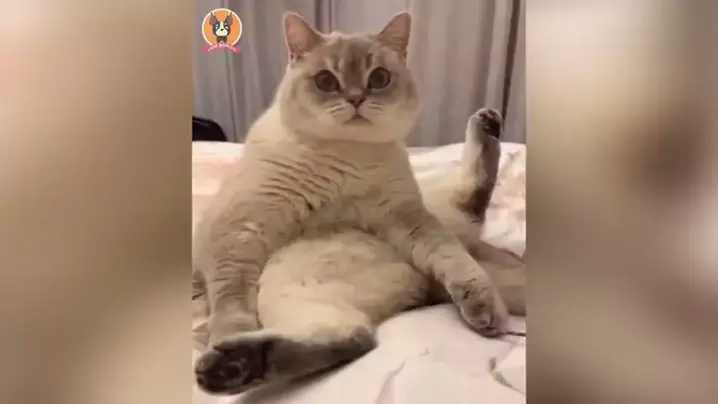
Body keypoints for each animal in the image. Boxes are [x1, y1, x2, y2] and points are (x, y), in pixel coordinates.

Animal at [192, 11, 524, 395]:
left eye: (378, 79)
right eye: (326, 81)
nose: (354, 99)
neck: (344, 156)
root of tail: (427, 291)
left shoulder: (409, 217)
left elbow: (457, 263)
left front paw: (486, 312)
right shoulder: (238, 232)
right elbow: (231, 302)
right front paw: (225, 334)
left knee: (358, 334)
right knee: (354, 335)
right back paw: (227, 365)